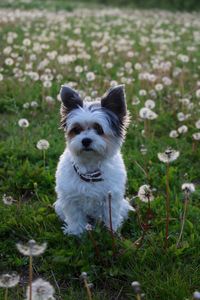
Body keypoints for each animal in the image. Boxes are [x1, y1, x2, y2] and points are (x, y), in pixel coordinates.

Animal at [54, 84, 134, 234]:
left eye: (99, 129)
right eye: (76, 130)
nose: (86, 140)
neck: (90, 167)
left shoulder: (111, 198)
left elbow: (111, 215)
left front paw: (112, 232)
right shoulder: (70, 197)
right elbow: (75, 217)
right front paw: (76, 232)